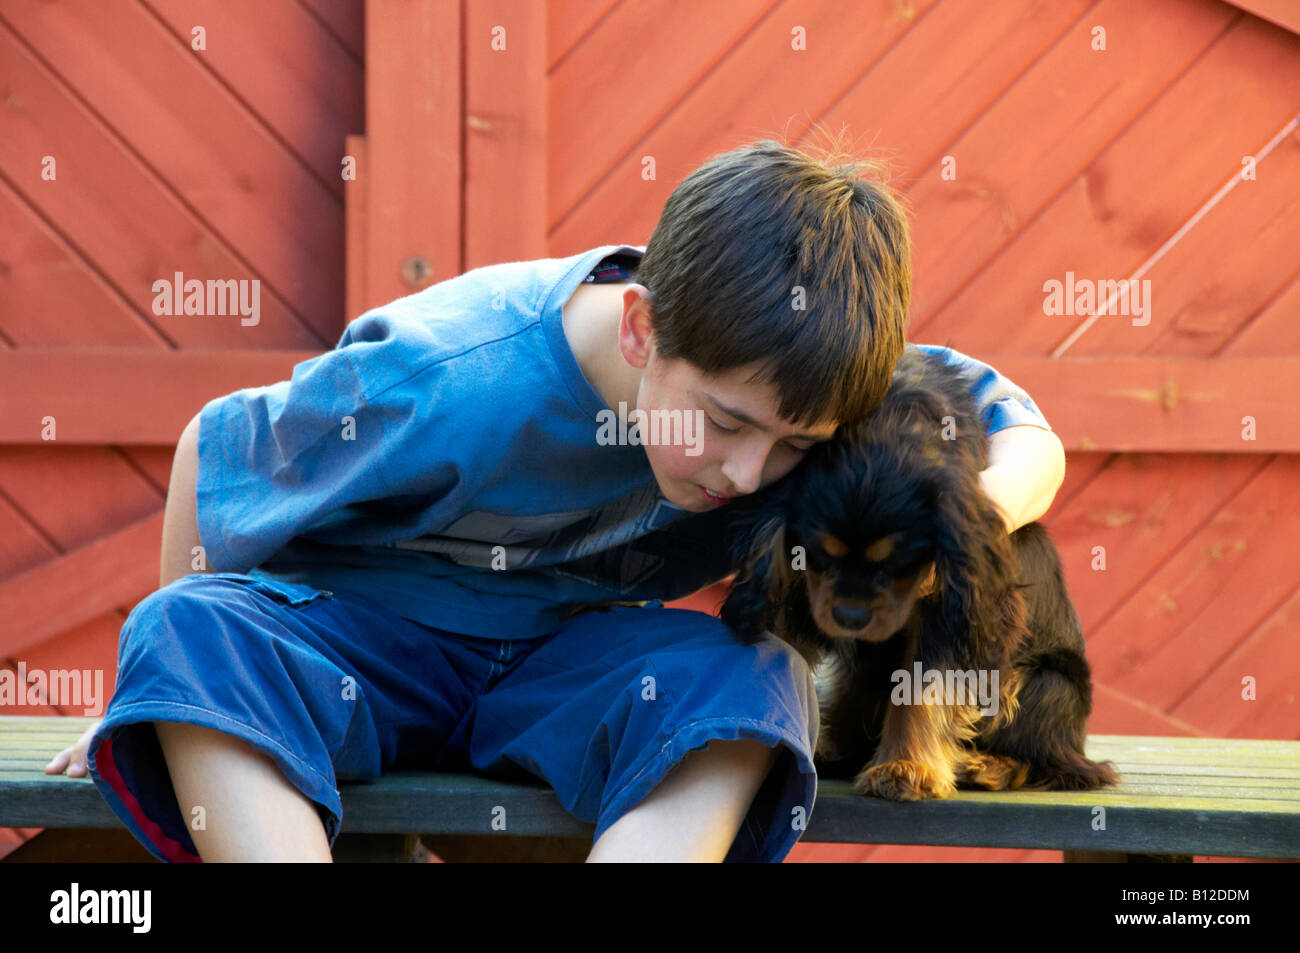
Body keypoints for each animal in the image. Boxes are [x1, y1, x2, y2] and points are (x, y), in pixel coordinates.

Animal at [722, 345, 1118, 800]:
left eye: (897, 562)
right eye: (819, 556)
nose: (850, 618)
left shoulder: (948, 607)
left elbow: (921, 689)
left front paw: (906, 769)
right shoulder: (798, 590)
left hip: (1045, 682)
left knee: (1053, 761)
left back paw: (988, 766)